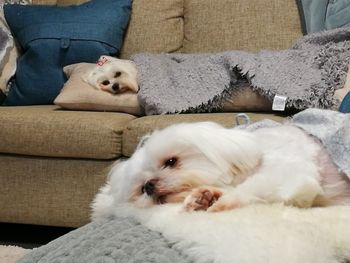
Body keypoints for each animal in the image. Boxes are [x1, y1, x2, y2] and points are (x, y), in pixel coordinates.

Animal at [91, 122, 350, 221]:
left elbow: (254, 186)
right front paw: (200, 199)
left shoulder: (293, 174)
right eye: (141, 188)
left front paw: (221, 200)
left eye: (171, 161)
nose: (149, 186)